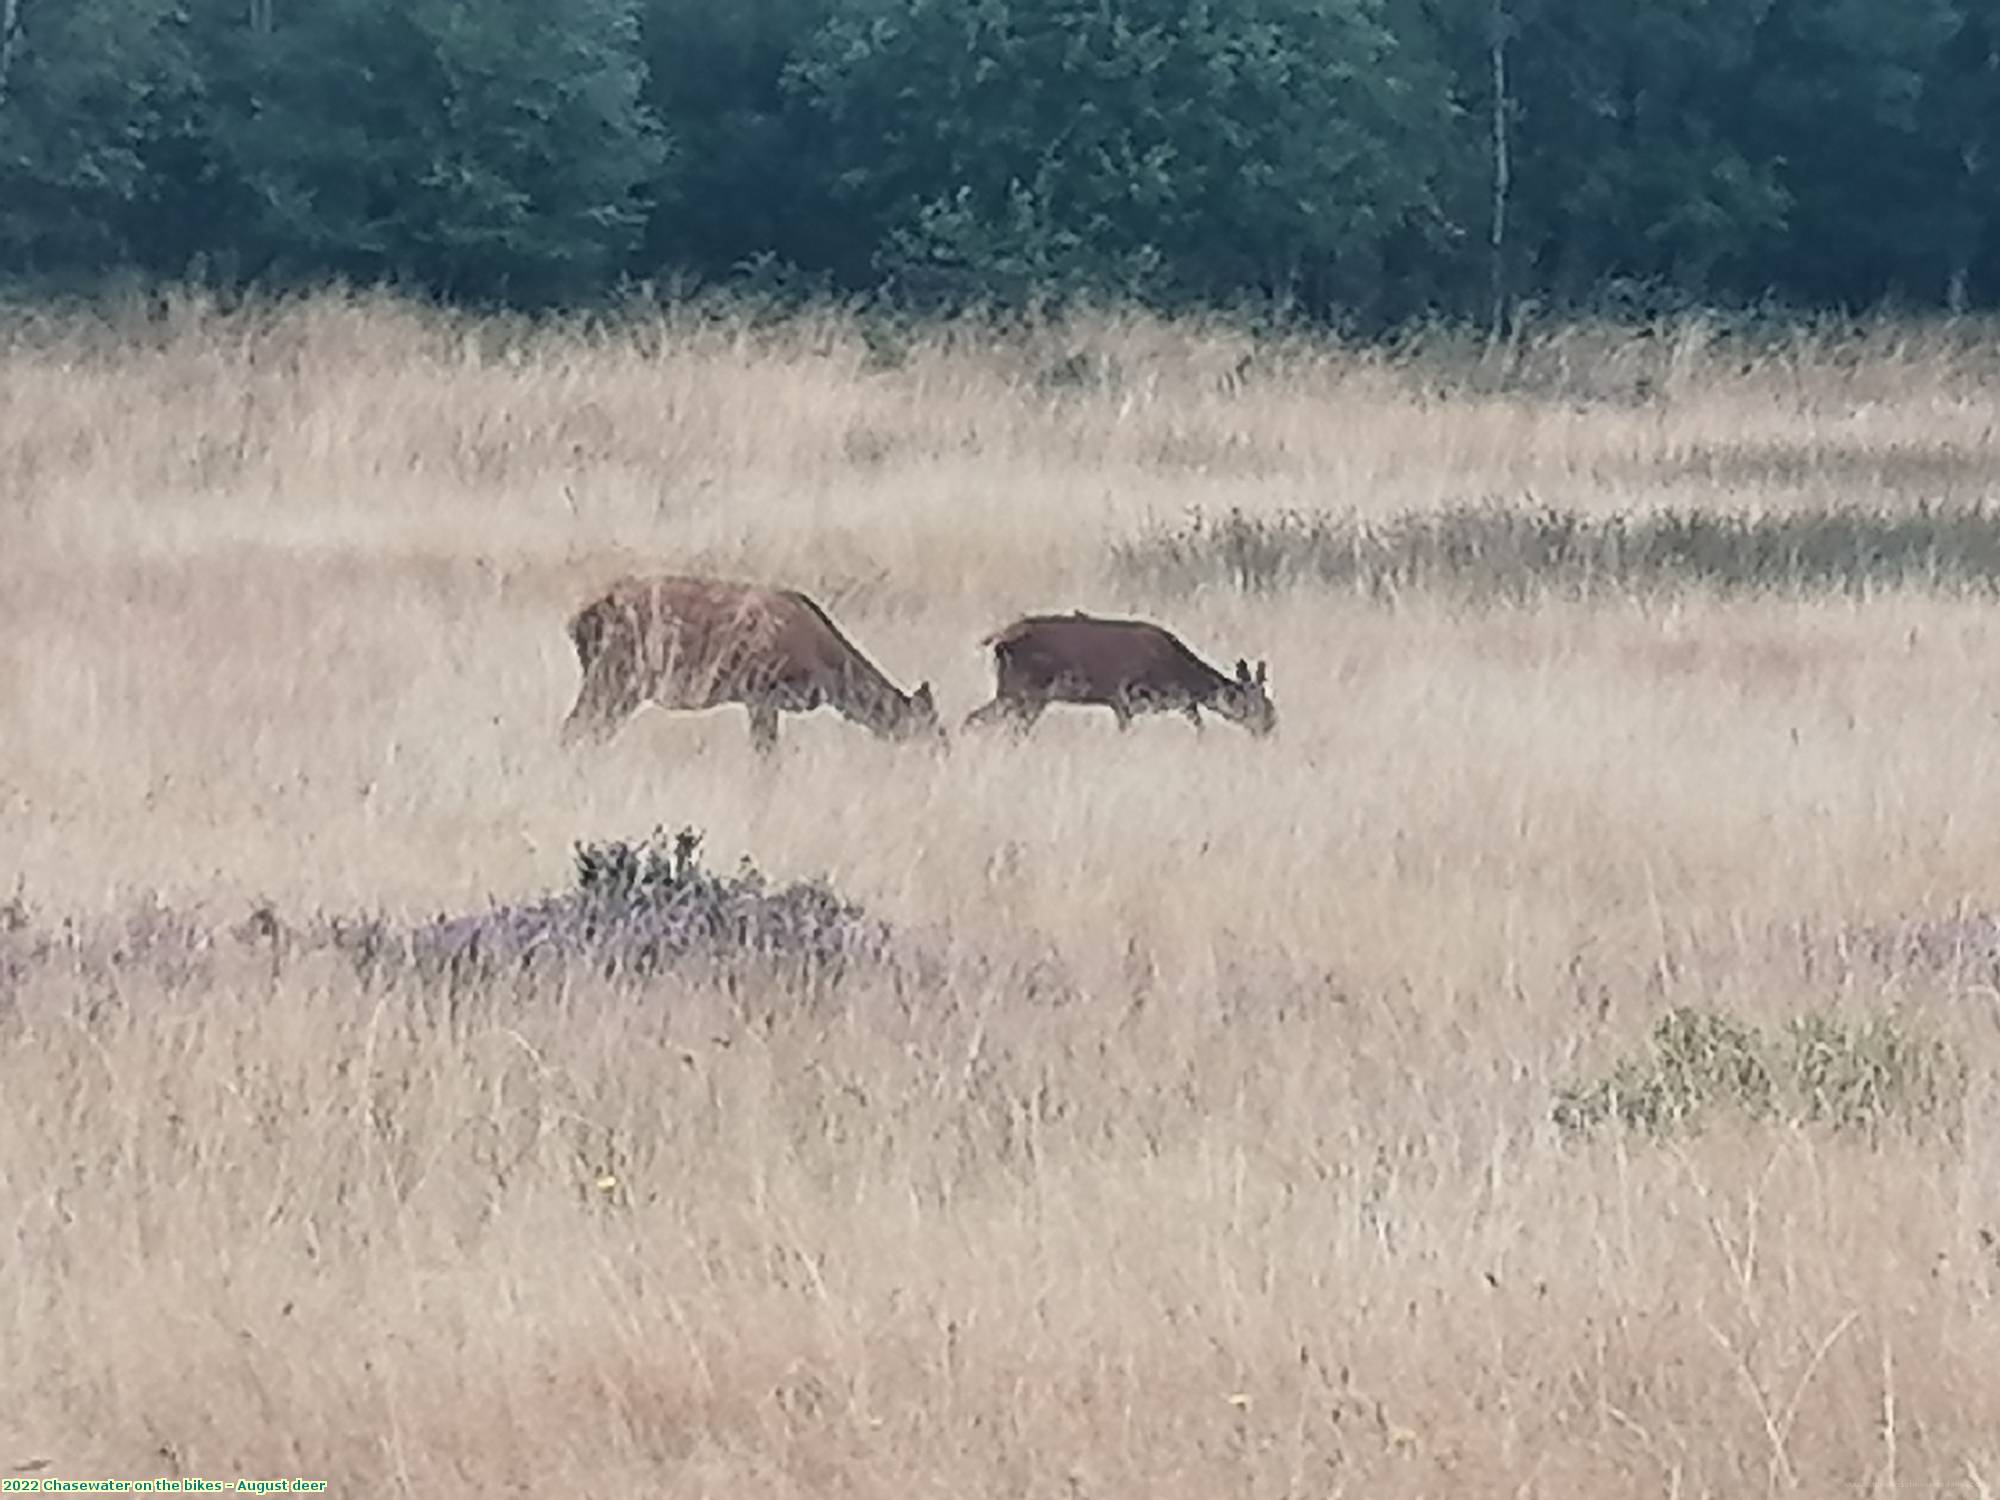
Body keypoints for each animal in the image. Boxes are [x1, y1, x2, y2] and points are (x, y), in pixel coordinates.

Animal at [556, 580, 944, 756]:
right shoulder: (762, 692)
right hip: (616, 677)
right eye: (930, 727)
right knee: (573, 728)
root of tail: (577, 622)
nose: (945, 751)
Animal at [968, 616, 1280, 740]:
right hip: (1025, 690)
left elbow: (1198, 723)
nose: (1270, 727)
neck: (1177, 673)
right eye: (1259, 706)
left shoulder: (1178, 703)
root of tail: (1000, 640)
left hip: (1017, 693)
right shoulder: (1124, 697)